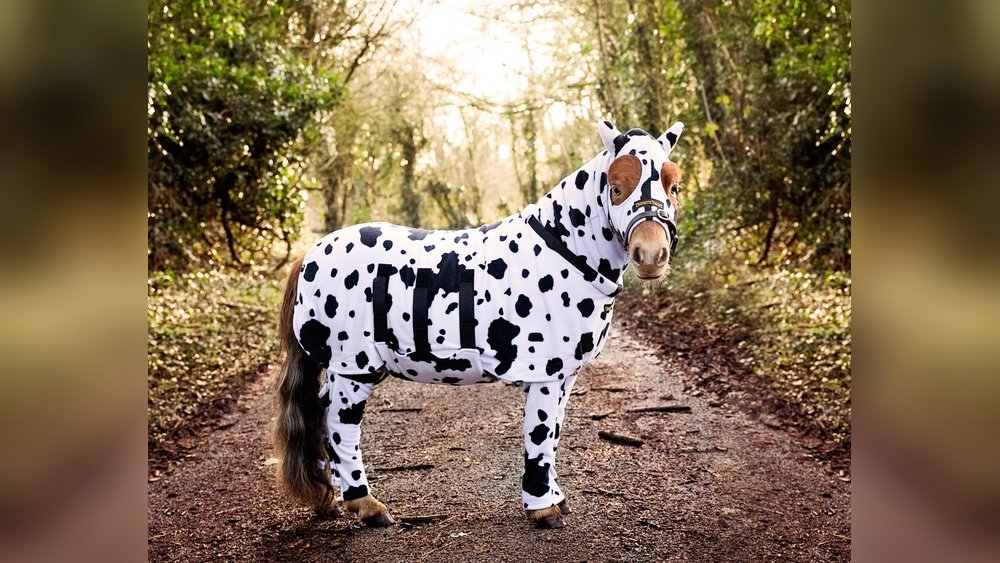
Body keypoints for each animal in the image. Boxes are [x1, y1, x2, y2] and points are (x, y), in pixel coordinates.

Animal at [274, 120, 684, 529]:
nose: (651, 255)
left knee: (319, 417)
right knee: (339, 427)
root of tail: (308, 254)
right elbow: (539, 436)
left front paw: (556, 498)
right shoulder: (544, 375)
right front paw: (542, 508)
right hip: (353, 370)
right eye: (616, 188)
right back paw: (367, 506)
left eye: (673, 187)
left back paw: (331, 500)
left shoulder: (565, 376)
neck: (559, 253)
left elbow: (553, 434)